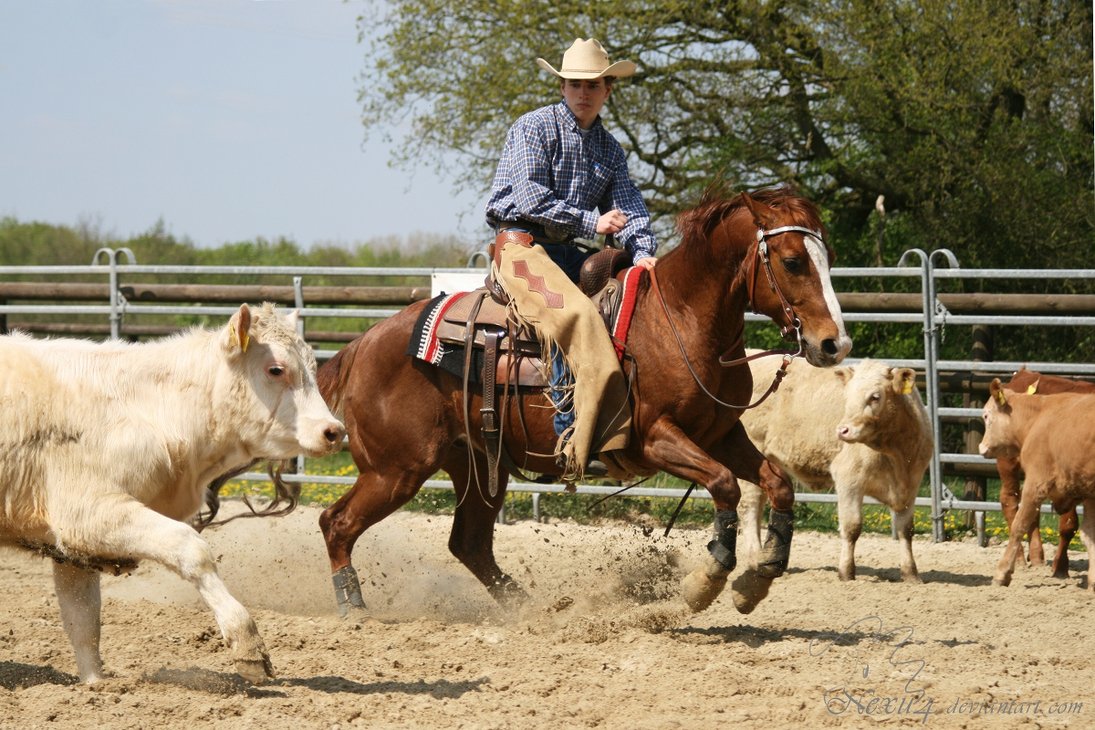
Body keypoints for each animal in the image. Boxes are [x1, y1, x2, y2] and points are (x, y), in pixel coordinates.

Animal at [0, 302, 341, 687]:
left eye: (313, 366)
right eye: (276, 369)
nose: (334, 431)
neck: (146, 408)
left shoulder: (73, 549)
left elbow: (83, 619)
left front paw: (95, 686)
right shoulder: (88, 514)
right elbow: (191, 548)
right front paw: (247, 642)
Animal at [317, 187, 854, 617]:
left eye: (826, 256)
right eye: (792, 261)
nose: (834, 344)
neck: (680, 321)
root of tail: (362, 345)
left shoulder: (722, 435)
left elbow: (777, 483)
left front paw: (756, 580)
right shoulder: (655, 440)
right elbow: (724, 485)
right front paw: (705, 583)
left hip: (476, 464)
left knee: (469, 544)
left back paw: (531, 609)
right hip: (396, 469)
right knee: (337, 523)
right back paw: (353, 605)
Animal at [735, 354, 932, 582]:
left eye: (875, 396)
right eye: (848, 396)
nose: (843, 430)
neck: (896, 455)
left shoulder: (911, 485)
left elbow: (905, 530)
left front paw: (911, 574)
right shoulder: (849, 479)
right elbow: (852, 527)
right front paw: (846, 572)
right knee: (749, 506)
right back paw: (754, 559)